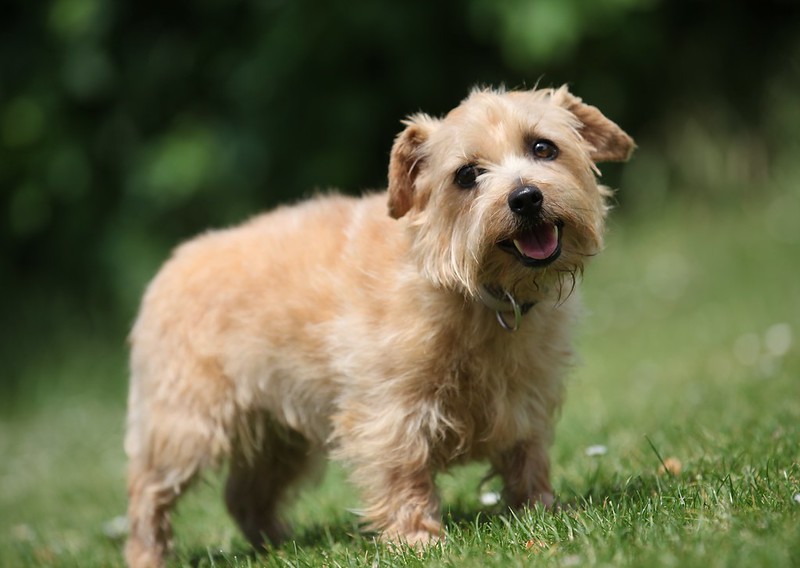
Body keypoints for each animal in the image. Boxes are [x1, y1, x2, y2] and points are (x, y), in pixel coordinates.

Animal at [125, 85, 636, 568]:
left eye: (543, 147)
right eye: (466, 174)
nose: (526, 197)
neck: (471, 289)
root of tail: (170, 266)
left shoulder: (525, 398)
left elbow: (527, 456)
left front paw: (540, 511)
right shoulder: (390, 409)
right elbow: (402, 470)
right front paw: (416, 541)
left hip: (279, 436)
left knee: (244, 494)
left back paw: (279, 543)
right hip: (185, 427)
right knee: (147, 492)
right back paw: (148, 554)